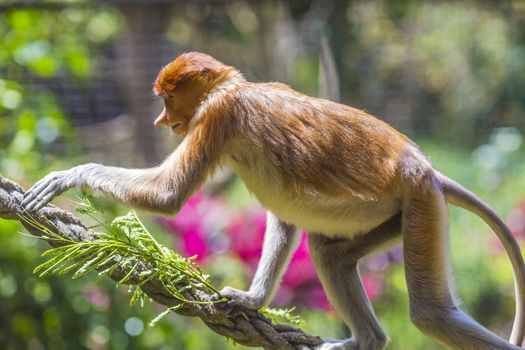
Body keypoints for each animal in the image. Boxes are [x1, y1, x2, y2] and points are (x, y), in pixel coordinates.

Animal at [22, 52, 524, 350]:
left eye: (168, 96)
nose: (161, 120)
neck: (233, 87)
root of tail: (424, 166)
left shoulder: (217, 117)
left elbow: (168, 195)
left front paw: (70, 175)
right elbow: (283, 217)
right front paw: (250, 299)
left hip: (420, 202)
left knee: (429, 315)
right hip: (396, 213)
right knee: (330, 254)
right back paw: (365, 339)